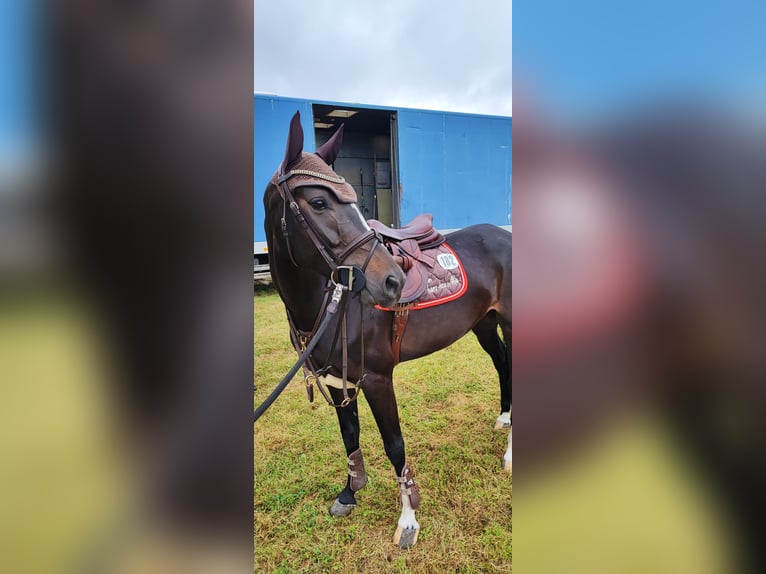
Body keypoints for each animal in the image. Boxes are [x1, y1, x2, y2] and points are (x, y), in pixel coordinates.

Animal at [266, 112, 516, 548]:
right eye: (318, 202)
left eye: (351, 200)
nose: (392, 282)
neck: (331, 302)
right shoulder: (337, 379)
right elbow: (350, 435)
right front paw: (349, 493)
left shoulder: (378, 379)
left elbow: (394, 445)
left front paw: (408, 520)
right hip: (484, 323)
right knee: (502, 364)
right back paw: (504, 418)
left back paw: (510, 455)